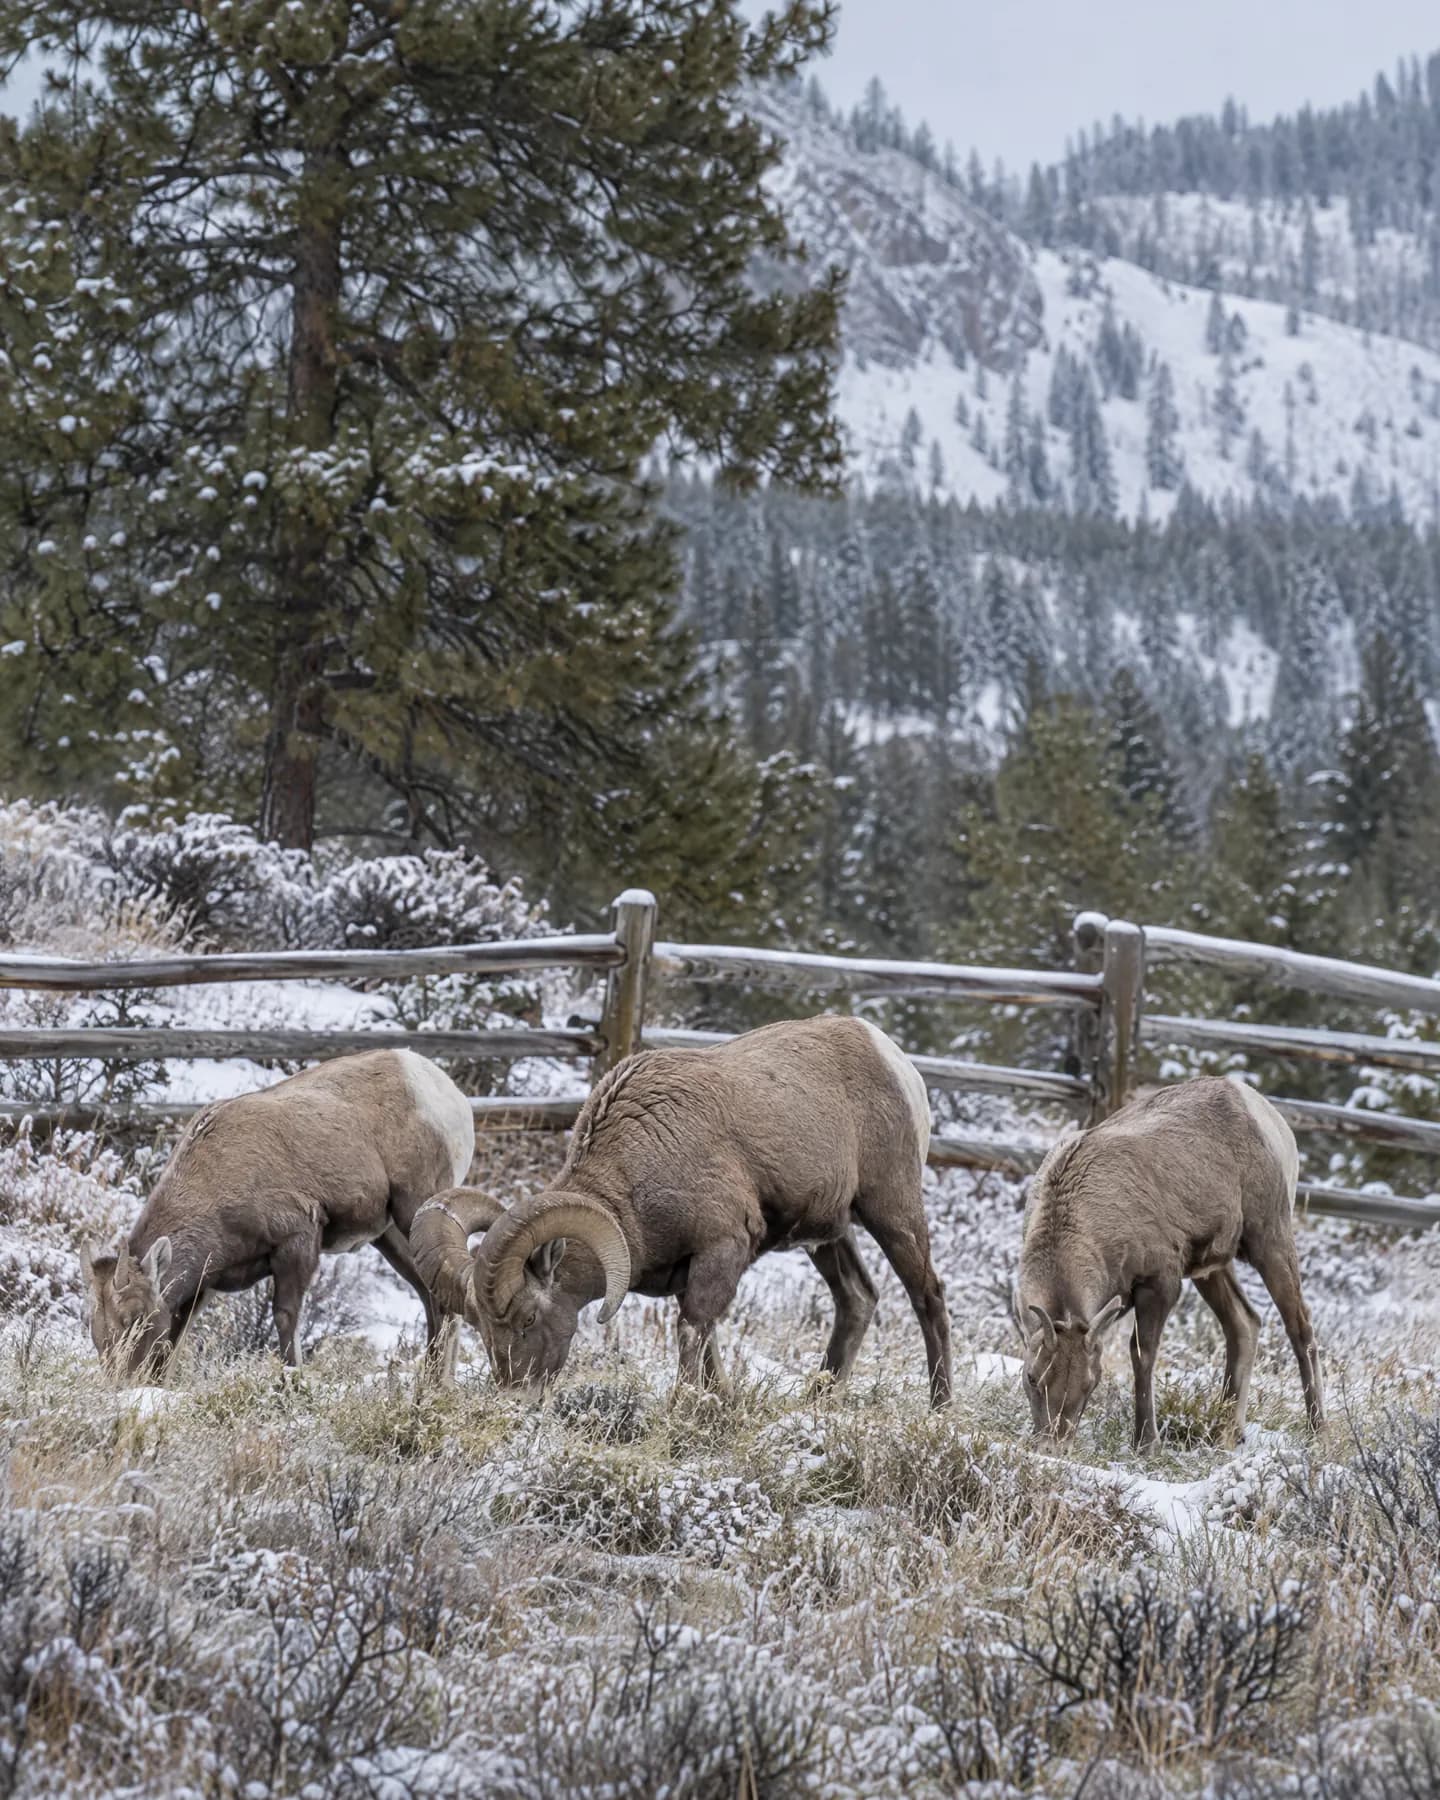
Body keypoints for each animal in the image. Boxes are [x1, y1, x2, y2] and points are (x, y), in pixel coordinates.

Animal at [80, 1048, 474, 1379]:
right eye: (95, 1325)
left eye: (135, 1317)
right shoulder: (202, 1286)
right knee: (432, 1297)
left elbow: (285, 1320)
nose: (120, 1382)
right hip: (388, 1236)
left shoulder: (297, 1241)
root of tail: (449, 1092)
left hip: (415, 1209)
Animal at [412, 1015, 953, 1404]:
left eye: (526, 1320)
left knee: (928, 1296)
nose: (516, 1399)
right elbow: (708, 1344)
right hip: (829, 1234)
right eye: (483, 1329)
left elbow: (692, 1336)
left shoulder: (720, 1251)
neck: (638, 1173)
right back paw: (820, 1400)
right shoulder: (691, 1272)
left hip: (892, 1209)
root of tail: (892, 1058)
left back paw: (940, 1406)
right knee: (857, 1299)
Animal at [1015, 1076, 1324, 1449]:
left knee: (1300, 1325)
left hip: (1270, 1233)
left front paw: (1146, 1442)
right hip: (1212, 1265)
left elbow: (1142, 1354)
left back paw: (1317, 1431)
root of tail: (1275, 1122)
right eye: (1031, 1376)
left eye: (1092, 1381)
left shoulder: (1160, 1278)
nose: (1054, 1443)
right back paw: (1226, 1432)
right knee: (1244, 1321)